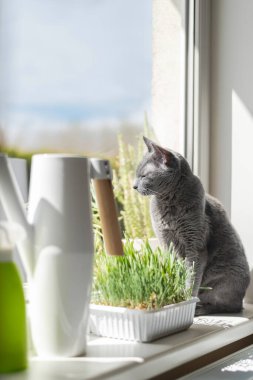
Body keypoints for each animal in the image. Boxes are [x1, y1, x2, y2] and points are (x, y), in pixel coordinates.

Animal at [133, 137, 250, 314]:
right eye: (136, 175)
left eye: (144, 176)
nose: (133, 186)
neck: (168, 202)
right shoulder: (166, 242)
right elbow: (174, 269)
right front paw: (173, 291)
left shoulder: (195, 247)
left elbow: (191, 278)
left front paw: (185, 297)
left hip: (226, 278)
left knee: (228, 305)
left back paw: (200, 309)